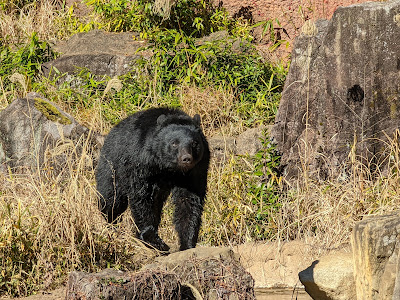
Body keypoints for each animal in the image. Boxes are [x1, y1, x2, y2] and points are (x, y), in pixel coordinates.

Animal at [95, 106, 211, 252]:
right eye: (174, 143)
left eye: (195, 143)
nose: (186, 159)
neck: (169, 168)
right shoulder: (142, 163)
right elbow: (142, 197)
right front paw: (155, 241)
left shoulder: (195, 171)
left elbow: (189, 201)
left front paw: (187, 244)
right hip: (112, 165)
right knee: (111, 198)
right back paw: (111, 224)